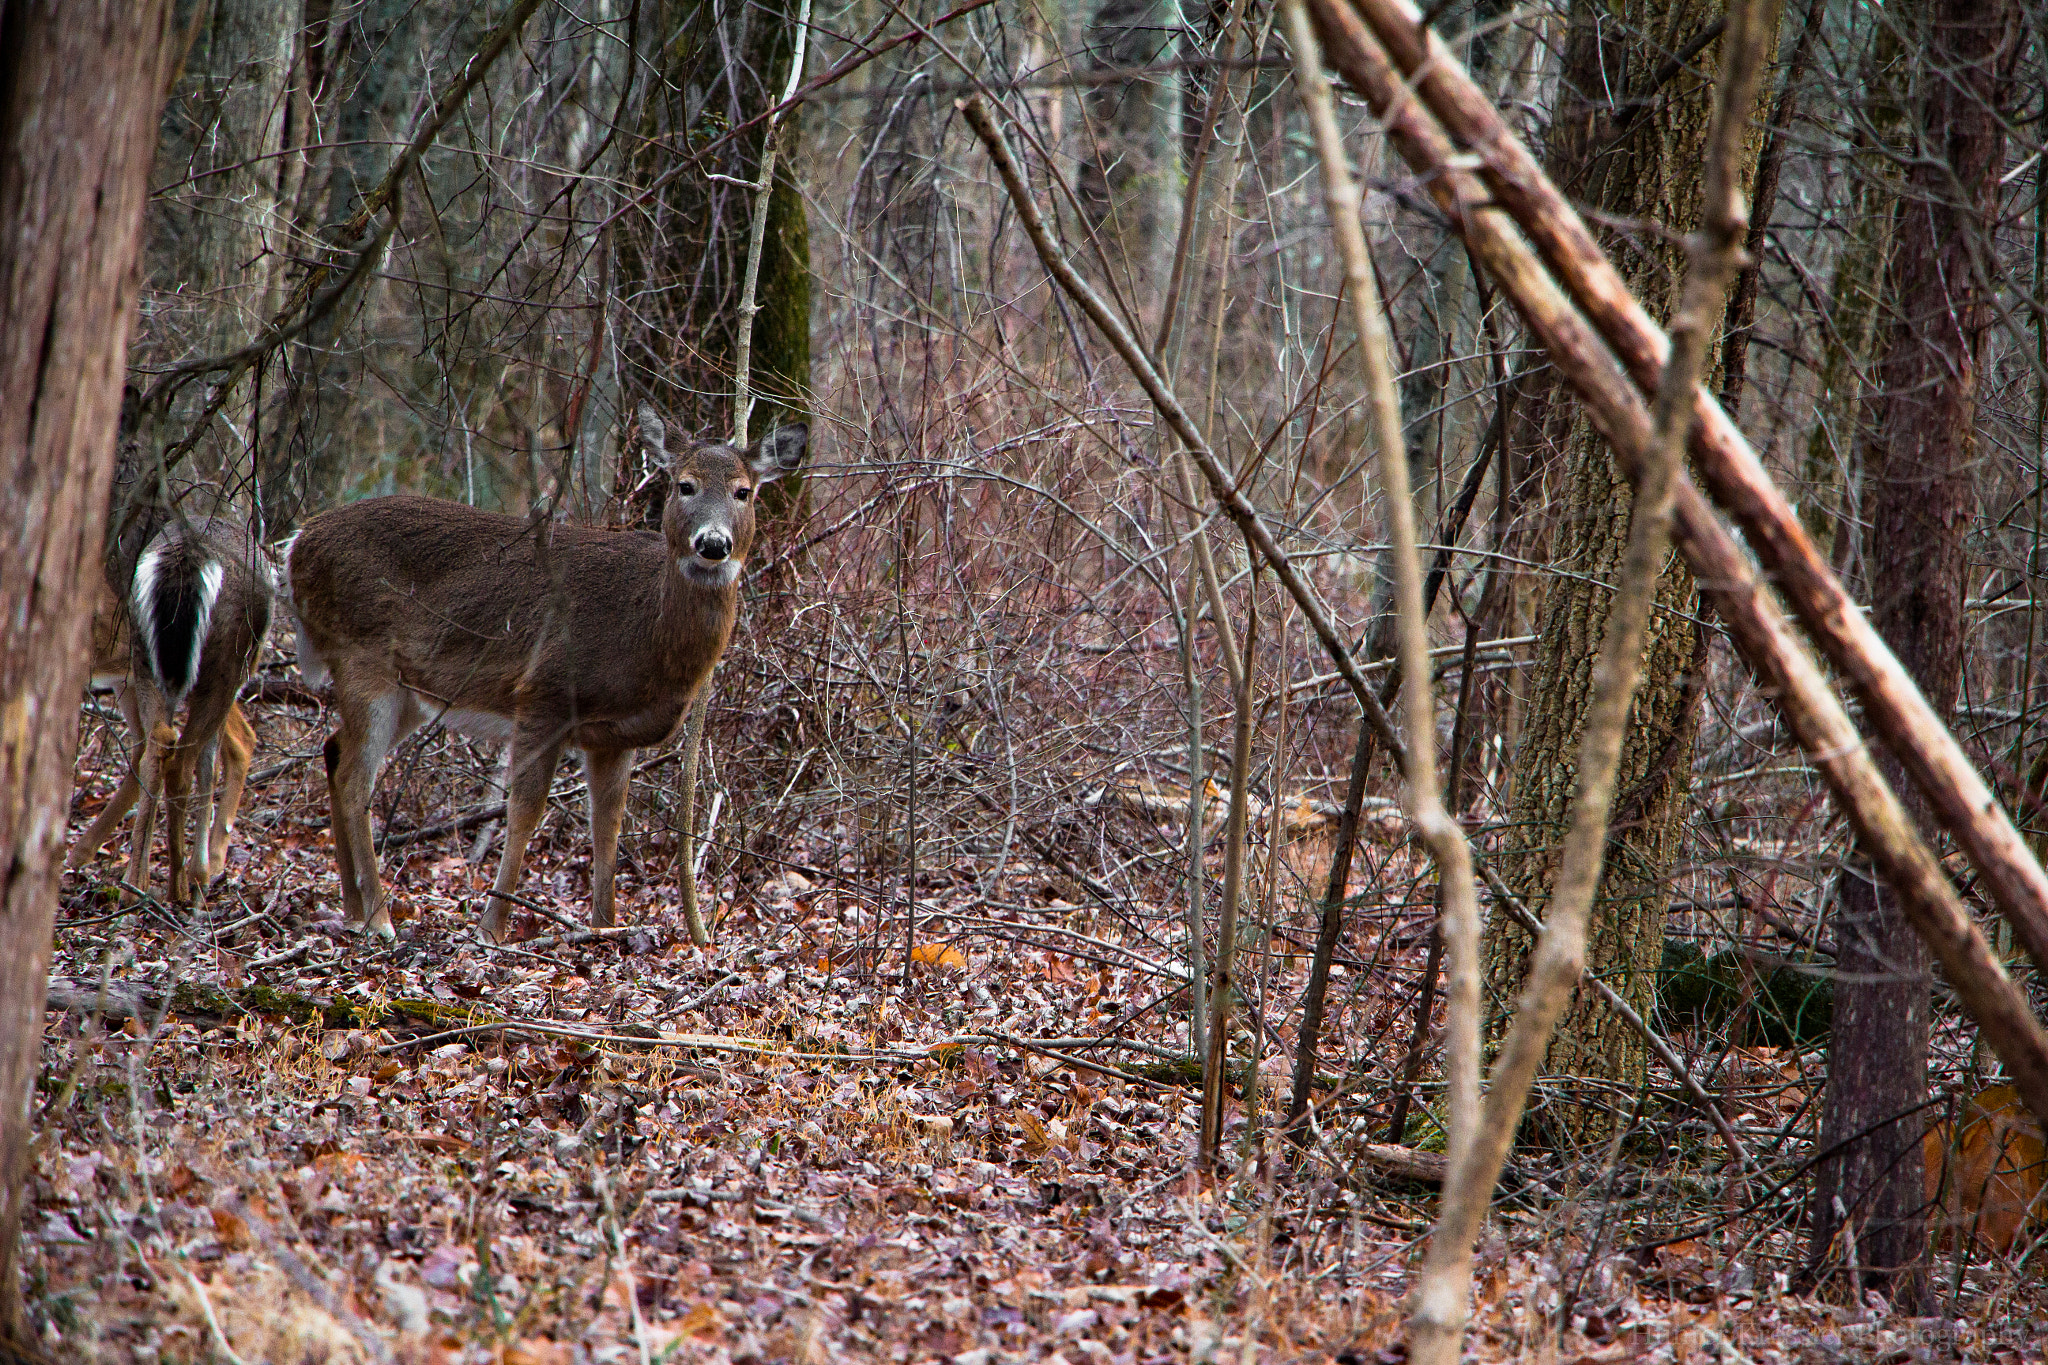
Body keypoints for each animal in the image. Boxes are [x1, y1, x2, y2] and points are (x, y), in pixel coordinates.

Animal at [68, 512, 276, 908]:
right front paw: (198, 871)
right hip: (224, 667)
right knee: (190, 753)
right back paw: (182, 879)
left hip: (147, 659)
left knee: (162, 742)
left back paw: (135, 879)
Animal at [287, 404, 807, 941]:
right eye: (685, 485)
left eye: (743, 491)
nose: (713, 543)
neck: (645, 632)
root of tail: (296, 545)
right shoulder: (544, 693)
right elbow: (524, 810)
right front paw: (493, 928)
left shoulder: (614, 735)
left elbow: (608, 823)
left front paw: (605, 927)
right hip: (363, 659)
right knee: (356, 780)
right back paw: (380, 918)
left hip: (408, 691)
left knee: (334, 751)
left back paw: (351, 908)